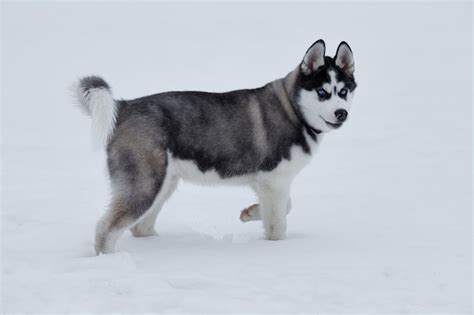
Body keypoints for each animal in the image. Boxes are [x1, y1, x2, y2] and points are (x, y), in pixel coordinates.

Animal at [73, 40, 356, 256]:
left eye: (343, 91)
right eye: (322, 92)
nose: (341, 113)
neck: (294, 112)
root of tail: (125, 106)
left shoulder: (267, 183)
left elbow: (286, 206)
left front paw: (250, 213)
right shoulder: (274, 181)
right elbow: (279, 222)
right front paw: (276, 248)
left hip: (163, 183)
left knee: (139, 227)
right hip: (144, 184)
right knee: (106, 227)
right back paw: (109, 259)